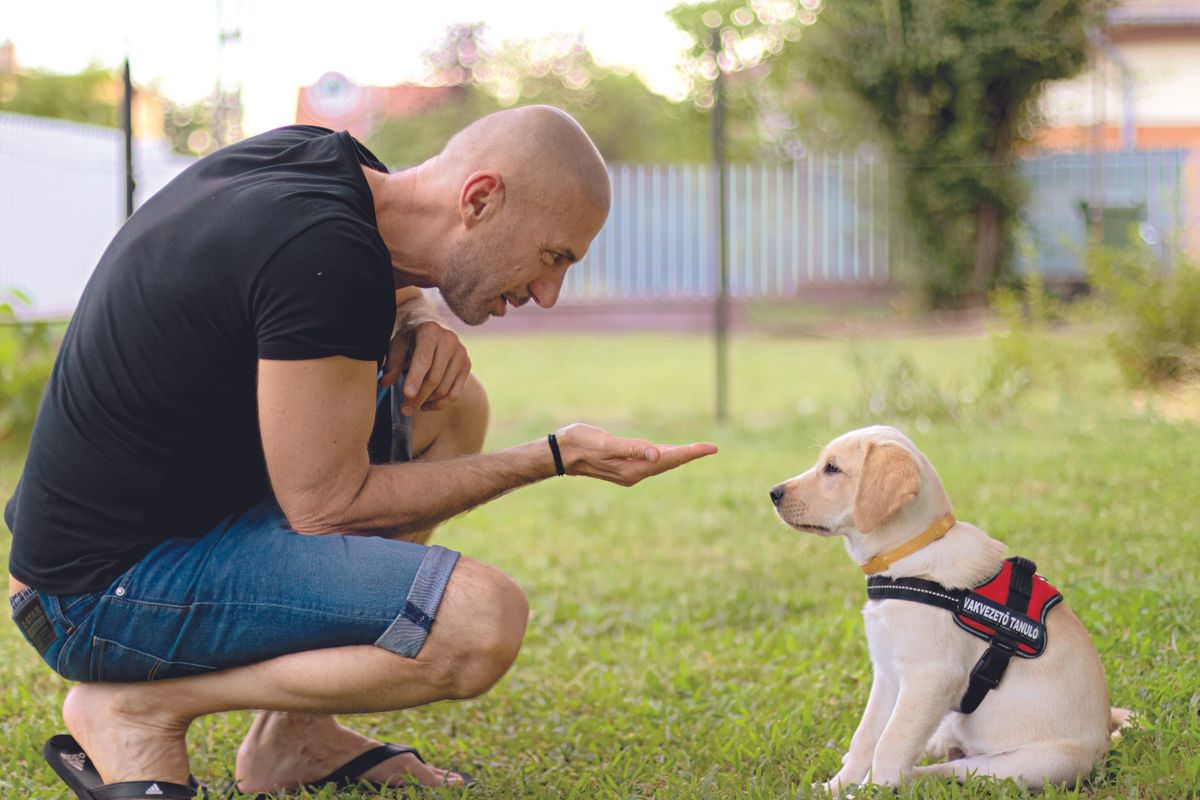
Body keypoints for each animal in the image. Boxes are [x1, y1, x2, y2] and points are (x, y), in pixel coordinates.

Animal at [772, 424, 1128, 796]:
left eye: (832, 469)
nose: (773, 493)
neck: (906, 557)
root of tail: (1104, 743)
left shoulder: (931, 676)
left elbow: (890, 743)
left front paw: (872, 790)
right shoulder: (887, 673)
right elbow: (866, 736)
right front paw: (834, 786)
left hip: (1019, 766)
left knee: (943, 769)